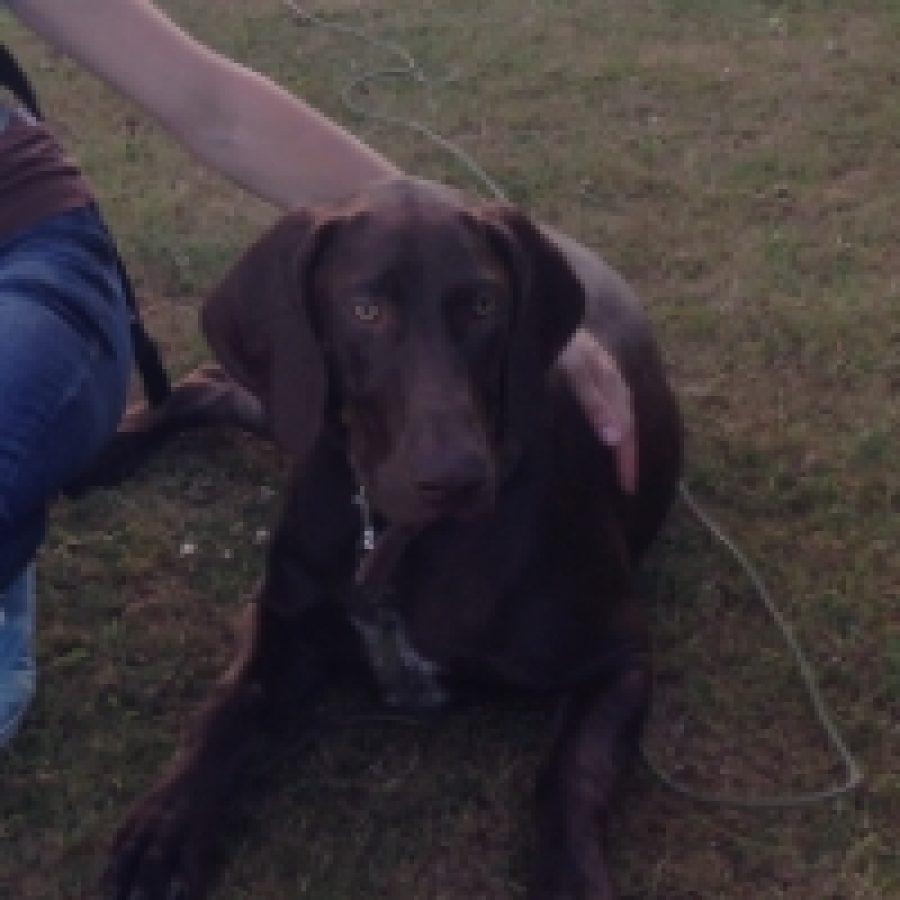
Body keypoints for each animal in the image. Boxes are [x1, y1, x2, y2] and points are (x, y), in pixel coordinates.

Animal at [102, 178, 684, 900]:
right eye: (365, 310)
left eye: (484, 305)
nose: (456, 477)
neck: (394, 537)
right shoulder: (284, 620)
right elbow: (228, 705)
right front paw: (167, 824)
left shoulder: (620, 656)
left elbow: (569, 776)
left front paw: (570, 875)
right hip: (297, 408)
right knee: (216, 383)